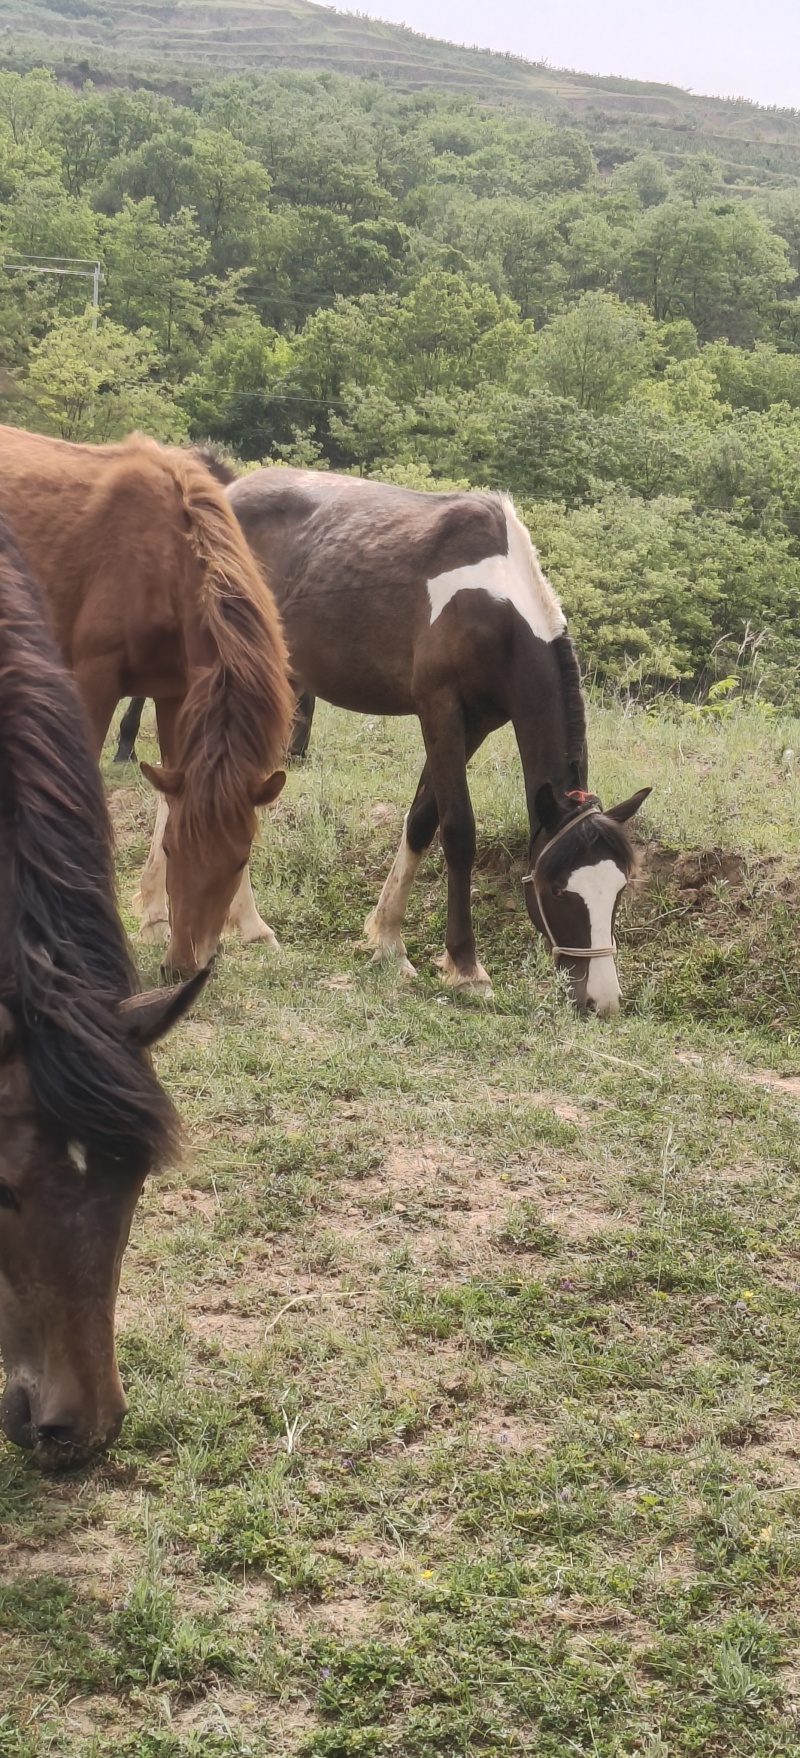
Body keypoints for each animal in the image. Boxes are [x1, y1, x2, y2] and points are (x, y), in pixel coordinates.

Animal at [0, 424, 294, 978]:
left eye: (241, 858)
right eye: (176, 851)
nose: (183, 968)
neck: (162, 559)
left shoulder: (177, 693)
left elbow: (170, 793)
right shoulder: (93, 682)